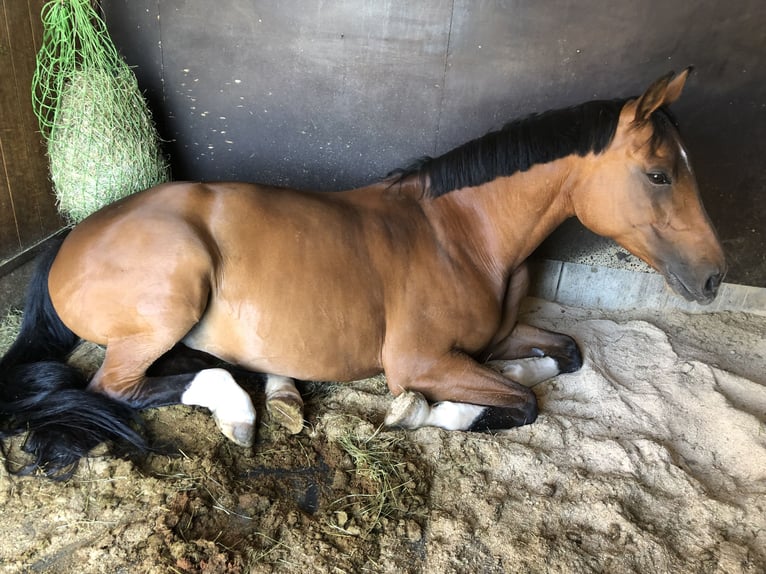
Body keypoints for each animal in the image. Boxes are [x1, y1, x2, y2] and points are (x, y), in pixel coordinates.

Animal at [0, 70, 728, 480]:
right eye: (659, 175)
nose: (715, 278)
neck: (463, 236)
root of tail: (72, 238)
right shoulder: (421, 360)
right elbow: (521, 403)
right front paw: (428, 411)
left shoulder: (493, 340)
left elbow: (566, 353)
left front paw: (519, 370)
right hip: (172, 300)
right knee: (116, 389)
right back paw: (239, 407)